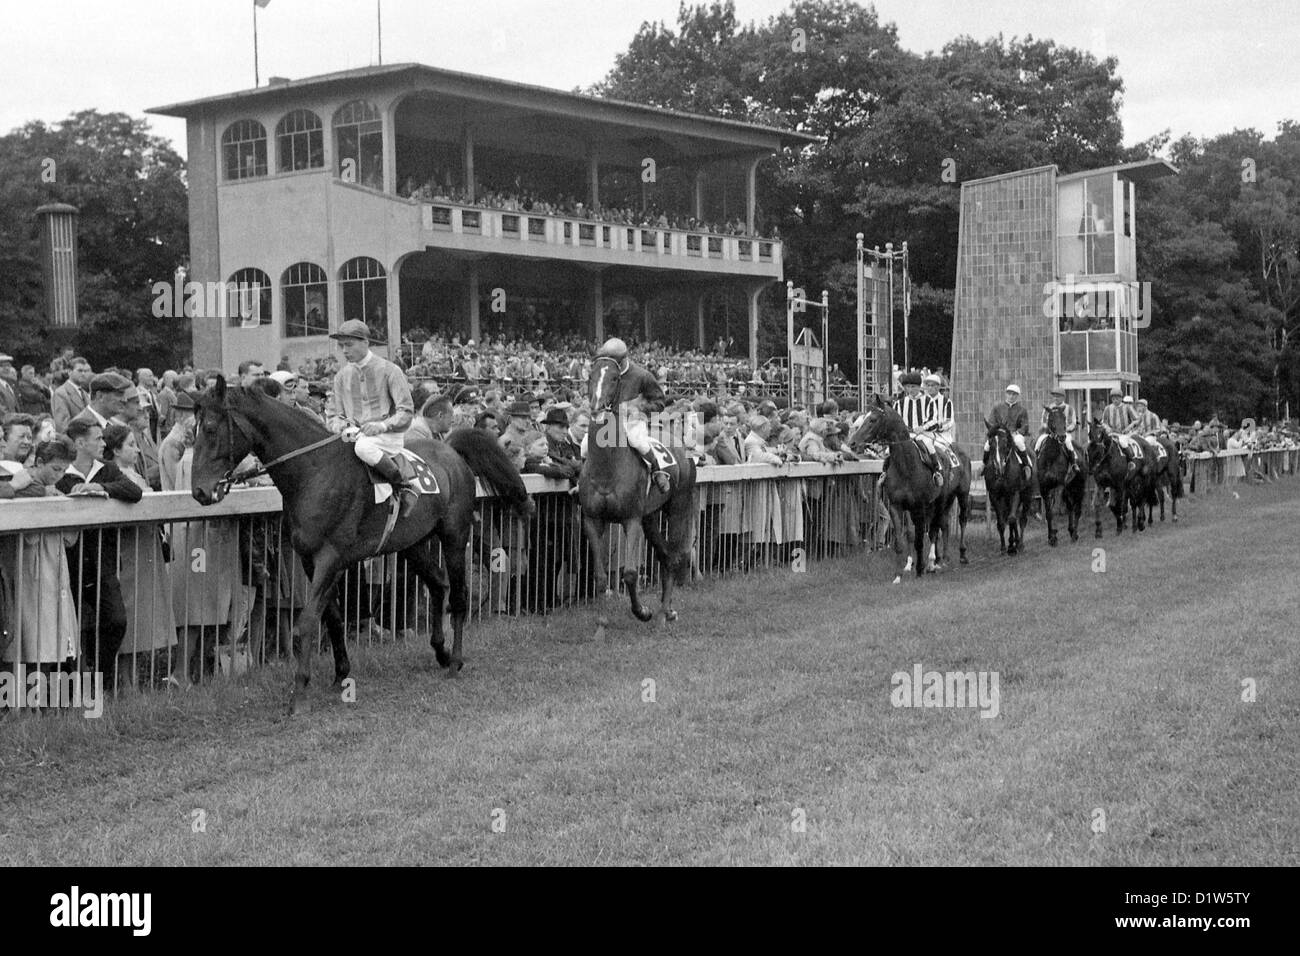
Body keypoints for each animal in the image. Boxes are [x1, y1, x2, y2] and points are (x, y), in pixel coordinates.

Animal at [189, 377, 533, 712]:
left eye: (210, 429)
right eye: (193, 431)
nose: (200, 492)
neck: (315, 472)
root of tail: (449, 449)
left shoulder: (330, 558)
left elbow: (306, 624)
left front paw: (299, 694)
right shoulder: (310, 561)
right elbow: (332, 618)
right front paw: (340, 674)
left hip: (454, 535)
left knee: (458, 594)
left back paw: (455, 660)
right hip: (412, 543)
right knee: (438, 584)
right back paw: (441, 652)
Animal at [579, 358, 696, 642]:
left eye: (614, 379)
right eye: (590, 376)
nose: (597, 407)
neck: (607, 467)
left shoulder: (630, 518)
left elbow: (631, 574)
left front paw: (643, 611)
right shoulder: (592, 519)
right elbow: (601, 577)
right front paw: (601, 628)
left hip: (678, 508)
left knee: (674, 557)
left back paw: (663, 616)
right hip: (650, 517)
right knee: (664, 555)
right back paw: (668, 611)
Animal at [847, 392, 972, 580]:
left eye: (873, 420)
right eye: (862, 418)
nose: (852, 443)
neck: (905, 466)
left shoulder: (919, 506)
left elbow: (920, 539)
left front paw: (919, 568)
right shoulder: (896, 506)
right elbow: (904, 538)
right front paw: (900, 572)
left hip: (957, 495)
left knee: (954, 521)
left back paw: (952, 557)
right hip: (941, 502)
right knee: (942, 525)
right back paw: (940, 558)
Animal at [982, 424, 1024, 556]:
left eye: (1005, 443)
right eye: (990, 443)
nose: (999, 467)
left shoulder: (1015, 493)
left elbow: (1012, 519)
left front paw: (1013, 546)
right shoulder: (994, 496)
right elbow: (1001, 522)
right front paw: (1003, 547)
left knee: (1020, 518)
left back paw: (1019, 544)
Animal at [1034, 408, 1086, 548]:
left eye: (1064, 418)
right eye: (1051, 418)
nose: (1062, 437)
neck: (1050, 458)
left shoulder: (1060, 486)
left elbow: (1056, 509)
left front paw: (1054, 535)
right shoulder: (1044, 487)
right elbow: (1048, 512)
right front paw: (1051, 536)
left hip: (1079, 485)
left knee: (1077, 509)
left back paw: (1075, 534)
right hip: (1070, 487)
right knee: (1070, 507)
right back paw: (1071, 530)